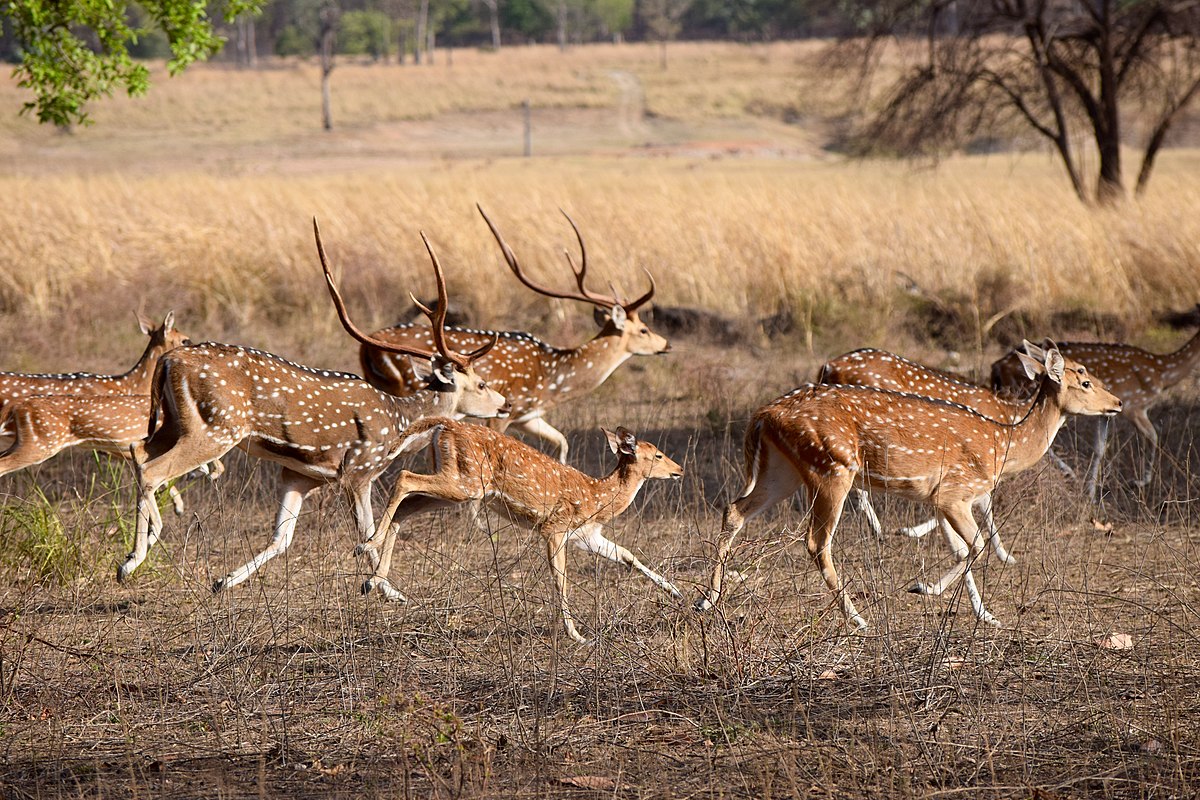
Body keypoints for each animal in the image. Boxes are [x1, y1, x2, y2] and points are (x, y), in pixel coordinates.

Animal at [120, 221, 511, 592]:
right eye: (481, 383)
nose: (505, 404)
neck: (401, 426)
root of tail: (168, 359)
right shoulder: (359, 469)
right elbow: (365, 532)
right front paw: (383, 587)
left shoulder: (300, 475)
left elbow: (281, 538)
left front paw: (222, 581)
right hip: (217, 427)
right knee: (153, 470)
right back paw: (132, 561)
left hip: (171, 423)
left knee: (138, 451)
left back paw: (137, 551)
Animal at [352, 419, 686, 642]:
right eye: (657, 454)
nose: (679, 469)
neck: (597, 497)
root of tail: (444, 425)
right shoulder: (554, 527)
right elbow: (561, 580)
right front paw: (576, 634)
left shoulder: (586, 535)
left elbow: (628, 555)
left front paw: (679, 593)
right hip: (465, 482)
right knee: (404, 477)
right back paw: (365, 547)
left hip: (458, 484)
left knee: (406, 505)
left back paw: (372, 580)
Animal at [355, 203, 676, 462]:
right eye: (644, 329)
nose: (667, 344)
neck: (553, 379)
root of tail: (365, 349)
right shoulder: (506, 409)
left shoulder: (528, 416)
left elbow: (563, 442)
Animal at [700, 345, 1118, 633]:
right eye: (1085, 381)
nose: (1116, 402)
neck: (1005, 443)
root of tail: (763, 416)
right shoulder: (955, 492)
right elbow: (976, 545)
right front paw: (923, 587)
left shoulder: (939, 498)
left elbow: (961, 547)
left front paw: (985, 614)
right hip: (831, 466)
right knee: (817, 542)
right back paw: (857, 618)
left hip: (783, 470)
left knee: (734, 509)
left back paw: (708, 600)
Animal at [993, 307, 1200, 501]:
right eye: (1080, 372)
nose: (1104, 387)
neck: (1163, 372)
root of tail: (996, 366)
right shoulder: (1136, 405)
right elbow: (1153, 435)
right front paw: (1139, 482)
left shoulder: (1107, 413)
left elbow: (1100, 448)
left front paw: (1091, 493)